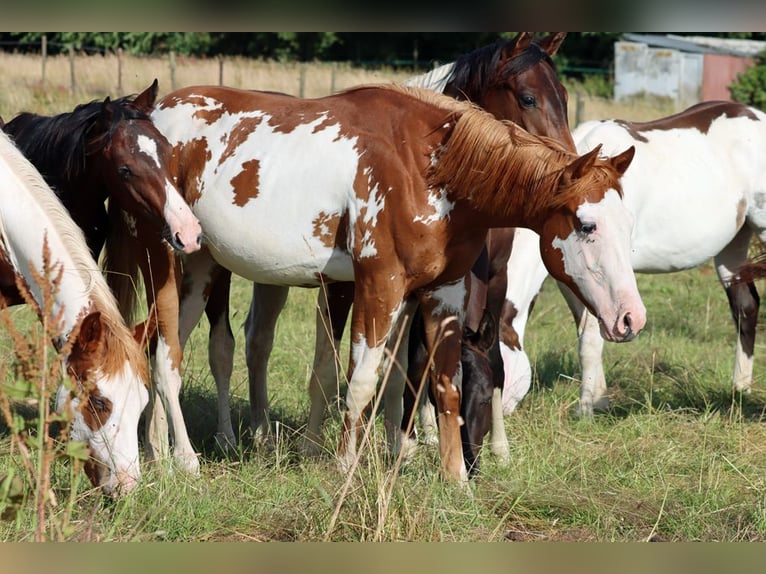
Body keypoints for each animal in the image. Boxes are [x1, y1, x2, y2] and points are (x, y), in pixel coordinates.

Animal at [106, 81, 643, 481]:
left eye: (626, 223)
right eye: (587, 225)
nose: (630, 319)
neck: (430, 168)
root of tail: (152, 116)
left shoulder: (441, 294)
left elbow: (437, 384)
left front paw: (453, 479)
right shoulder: (377, 286)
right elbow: (362, 381)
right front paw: (345, 466)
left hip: (200, 266)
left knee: (167, 350)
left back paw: (157, 451)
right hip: (165, 262)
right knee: (168, 356)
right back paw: (185, 460)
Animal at [175, 32, 576, 460]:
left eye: (565, 96)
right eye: (528, 98)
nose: (568, 165)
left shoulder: (469, 285)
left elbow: (416, 368)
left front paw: (404, 445)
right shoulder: (348, 286)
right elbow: (334, 368)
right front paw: (320, 448)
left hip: (270, 277)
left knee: (258, 341)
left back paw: (263, 433)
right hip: (216, 268)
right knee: (222, 346)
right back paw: (225, 437)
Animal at [496, 100, 766, 421]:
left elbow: (591, 338)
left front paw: (586, 408)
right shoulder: (572, 278)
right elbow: (587, 333)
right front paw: (599, 399)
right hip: (733, 246)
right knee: (745, 307)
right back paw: (740, 389)